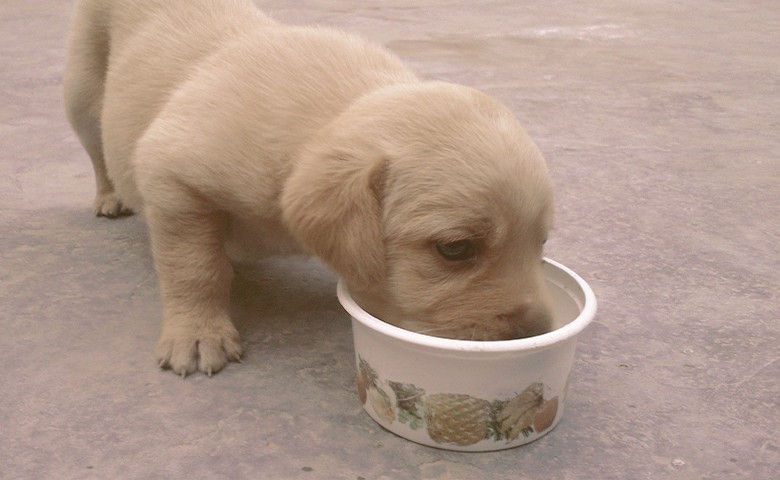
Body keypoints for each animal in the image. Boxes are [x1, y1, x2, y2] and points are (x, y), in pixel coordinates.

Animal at [64, 0, 556, 378]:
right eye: (455, 249)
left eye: (541, 243)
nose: (538, 332)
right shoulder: (169, 172)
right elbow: (194, 267)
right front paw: (198, 332)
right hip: (82, 93)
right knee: (97, 150)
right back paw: (110, 197)